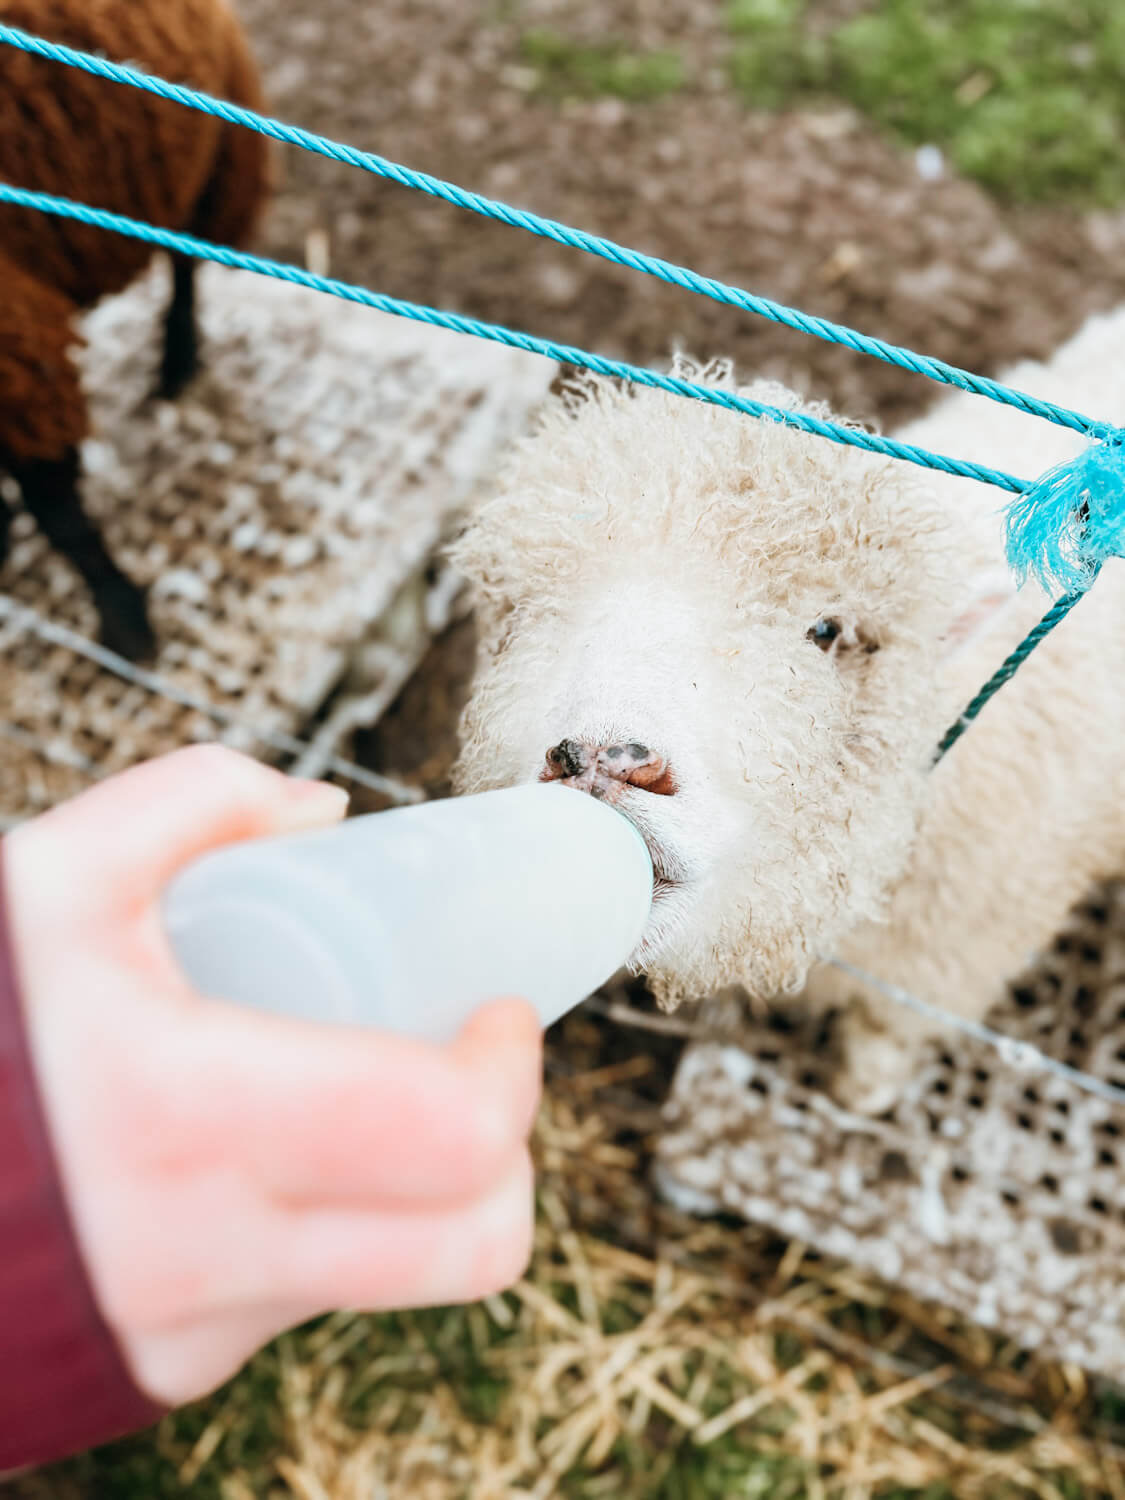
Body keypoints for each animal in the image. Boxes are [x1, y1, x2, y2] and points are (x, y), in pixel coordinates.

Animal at [0, 0, 270, 660]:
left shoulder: (18, 348)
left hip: (219, 162)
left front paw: (124, 620)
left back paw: (177, 362)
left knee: (184, 267)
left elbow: (58, 513)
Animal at [451, 309, 1125, 1116]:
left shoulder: (948, 956)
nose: (602, 761)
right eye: (518, 610)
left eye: (827, 630)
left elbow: (885, 1033)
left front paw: (863, 1092)